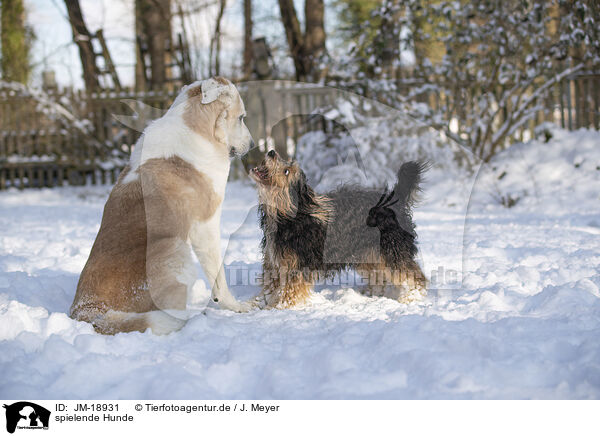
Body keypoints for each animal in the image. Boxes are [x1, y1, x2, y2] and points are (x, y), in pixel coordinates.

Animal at [69, 76, 253, 336]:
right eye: (241, 117)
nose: (254, 144)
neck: (198, 127)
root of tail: (88, 311)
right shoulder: (205, 225)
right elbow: (218, 277)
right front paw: (234, 306)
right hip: (176, 249)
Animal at [248, 152, 426, 308]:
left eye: (286, 171)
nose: (271, 152)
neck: (289, 214)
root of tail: (395, 200)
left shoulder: (298, 264)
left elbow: (290, 292)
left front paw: (279, 308)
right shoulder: (274, 263)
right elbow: (269, 288)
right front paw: (255, 304)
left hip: (391, 249)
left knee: (414, 275)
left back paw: (411, 296)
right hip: (368, 254)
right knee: (379, 276)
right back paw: (369, 293)